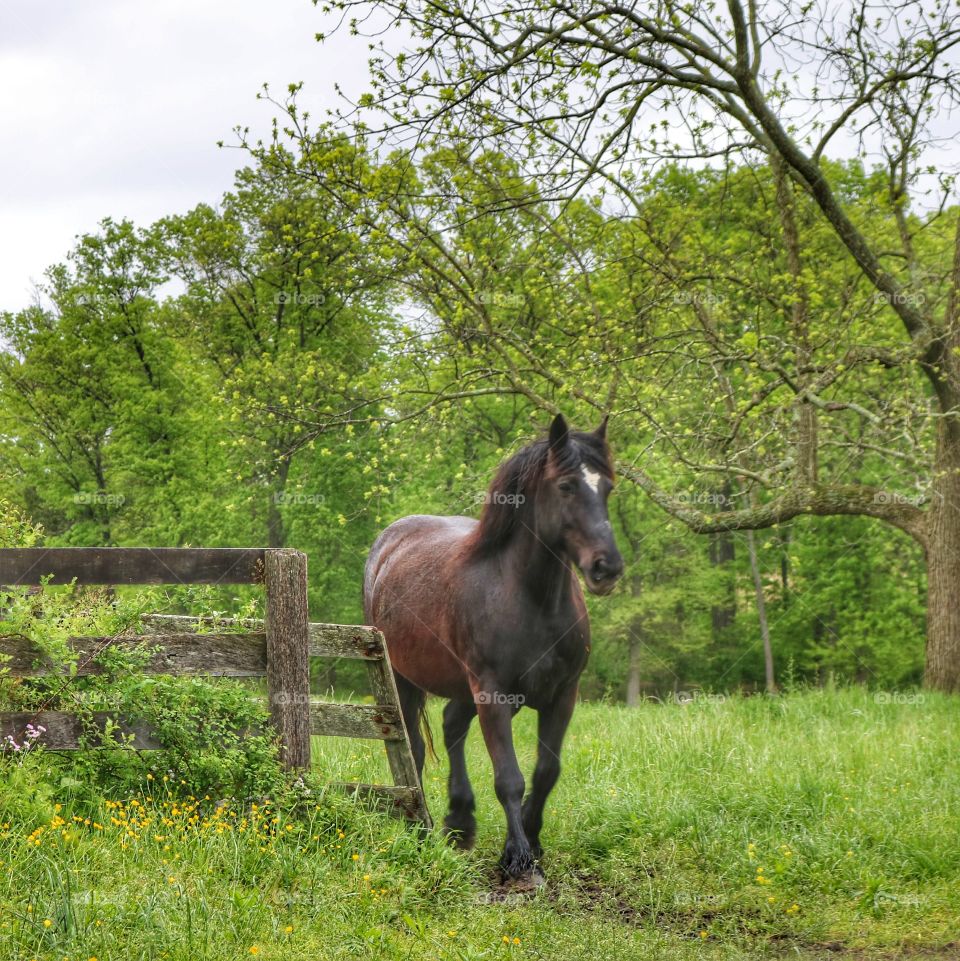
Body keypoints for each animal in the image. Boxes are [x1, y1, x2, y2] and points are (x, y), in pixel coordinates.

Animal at [363, 413, 624, 884]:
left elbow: (546, 771)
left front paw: (533, 843)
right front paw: (516, 859)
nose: (606, 568)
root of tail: (388, 544)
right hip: (406, 681)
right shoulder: (494, 694)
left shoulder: (562, 696)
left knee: (451, 727)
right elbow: (509, 777)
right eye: (566, 486)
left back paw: (459, 821)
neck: (531, 600)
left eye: (607, 488)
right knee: (413, 747)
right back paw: (420, 828)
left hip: (465, 689)